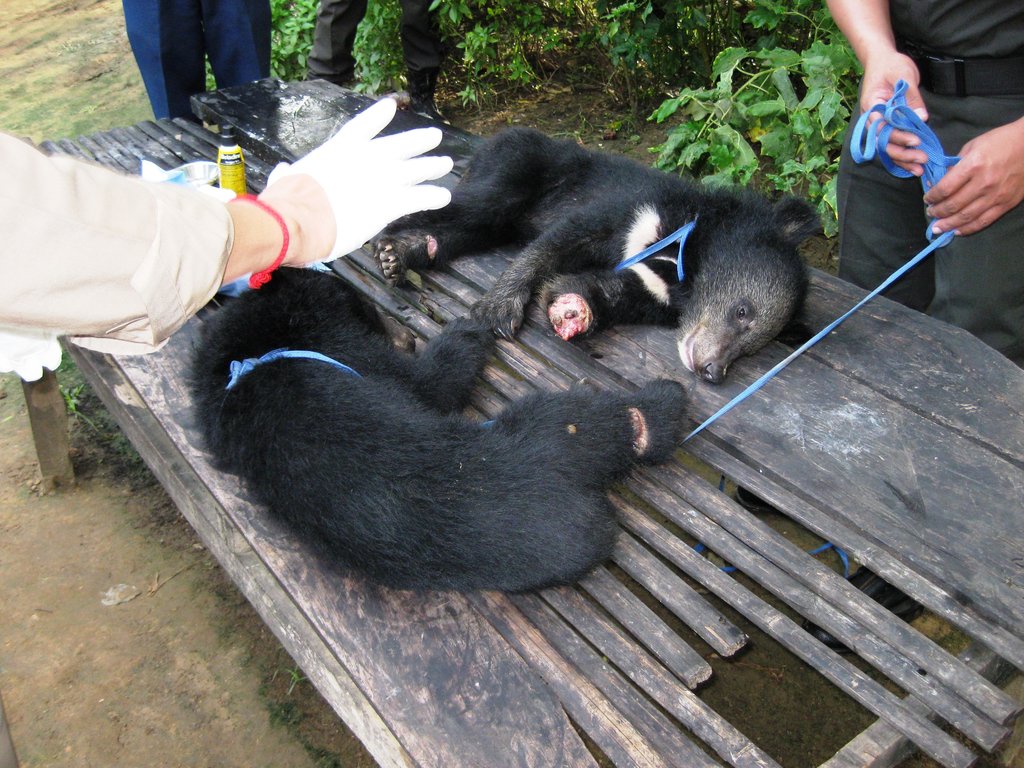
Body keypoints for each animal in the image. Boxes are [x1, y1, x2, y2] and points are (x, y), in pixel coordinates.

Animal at [190, 269, 689, 593]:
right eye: (365, 306)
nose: (405, 333)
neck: (249, 355)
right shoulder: (341, 346)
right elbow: (429, 383)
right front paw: (469, 327)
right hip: (536, 437)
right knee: (591, 424)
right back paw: (659, 410)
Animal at [372, 127, 822, 384]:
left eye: (753, 349)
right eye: (743, 312)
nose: (711, 370)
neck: (686, 261)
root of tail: (494, 139)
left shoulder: (657, 287)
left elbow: (622, 291)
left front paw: (574, 309)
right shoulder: (637, 206)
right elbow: (563, 239)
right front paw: (499, 308)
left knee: (470, 227)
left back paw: (405, 254)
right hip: (514, 168)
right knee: (468, 204)